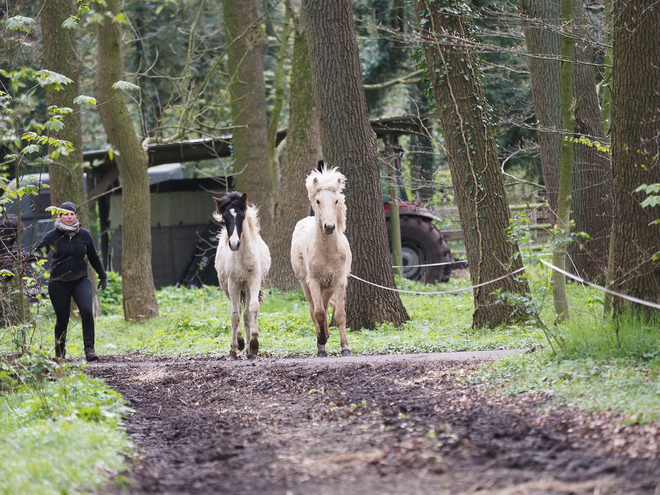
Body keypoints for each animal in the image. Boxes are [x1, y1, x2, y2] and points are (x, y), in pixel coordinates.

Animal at [214, 193, 270, 360]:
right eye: (225, 218)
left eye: (241, 216)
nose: (234, 244)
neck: (242, 256)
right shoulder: (233, 284)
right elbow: (234, 316)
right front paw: (233, 349)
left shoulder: (254, 281)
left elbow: (253, 309)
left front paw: (254, 346)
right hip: (231, 288)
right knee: (238, 311)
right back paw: (240, 343)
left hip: (246, 288)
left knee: (246, 315)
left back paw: (247, 350)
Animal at [288, 167, 350, 356]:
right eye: (318, 201)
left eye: (336, 200)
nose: (329, 227)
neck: (327, 252)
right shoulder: (314, 281)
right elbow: (319, 313)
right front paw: (321, 342)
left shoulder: (339, 281)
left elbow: (339, 314)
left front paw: (345, 347)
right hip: (306, 285)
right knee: (313, 309)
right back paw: (321, 340)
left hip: (328, 287)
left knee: (326, 305)